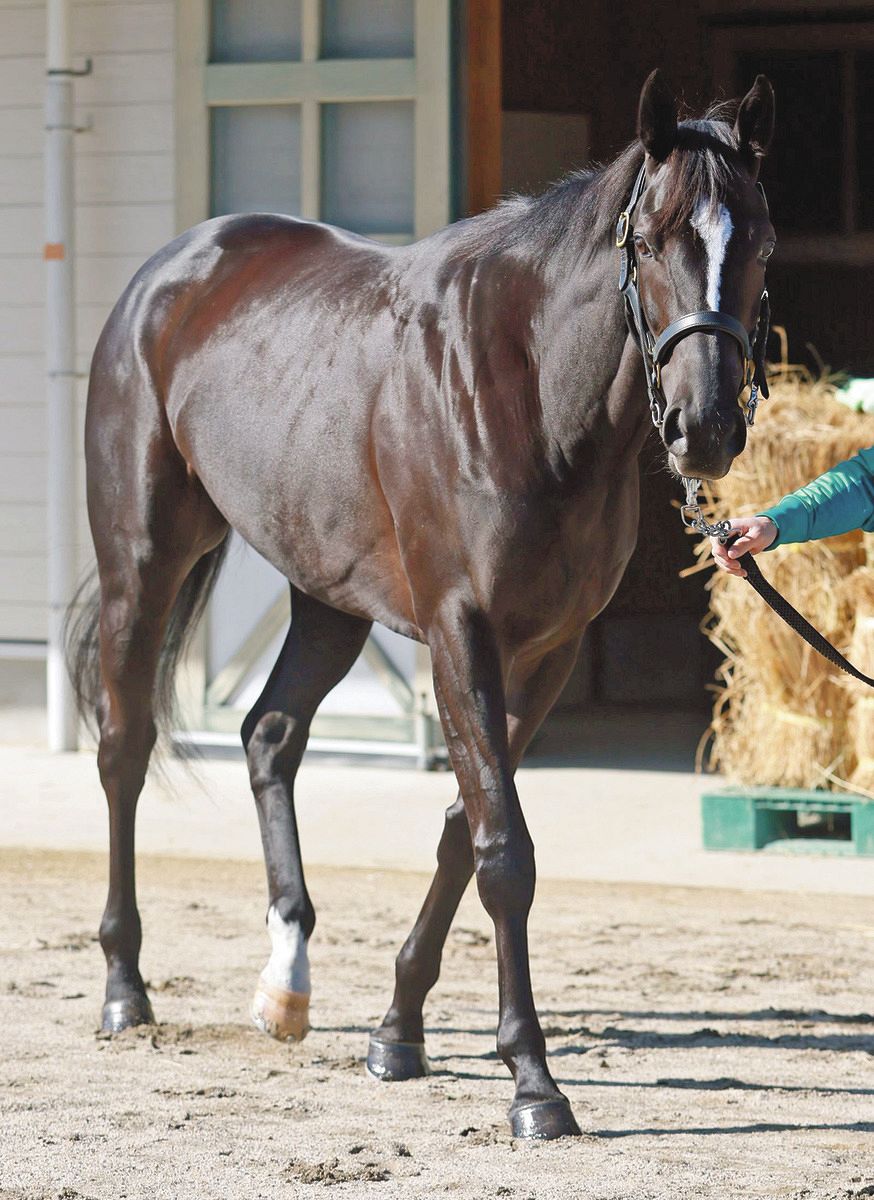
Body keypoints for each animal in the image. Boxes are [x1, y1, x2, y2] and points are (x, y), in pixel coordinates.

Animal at [67, 69, 775, 1140]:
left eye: (761, 242)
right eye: (650, 241)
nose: (707, 428)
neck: (528, 392)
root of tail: (170, 271)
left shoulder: (547, 651)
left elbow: (461, 825)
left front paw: (397, 1033)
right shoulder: (458, 631)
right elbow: (504, 848)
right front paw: (534, 1084)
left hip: (327, 597)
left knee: (269, 734)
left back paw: (287, 986)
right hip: (143, 561)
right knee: (123, 748)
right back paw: (124, 988)